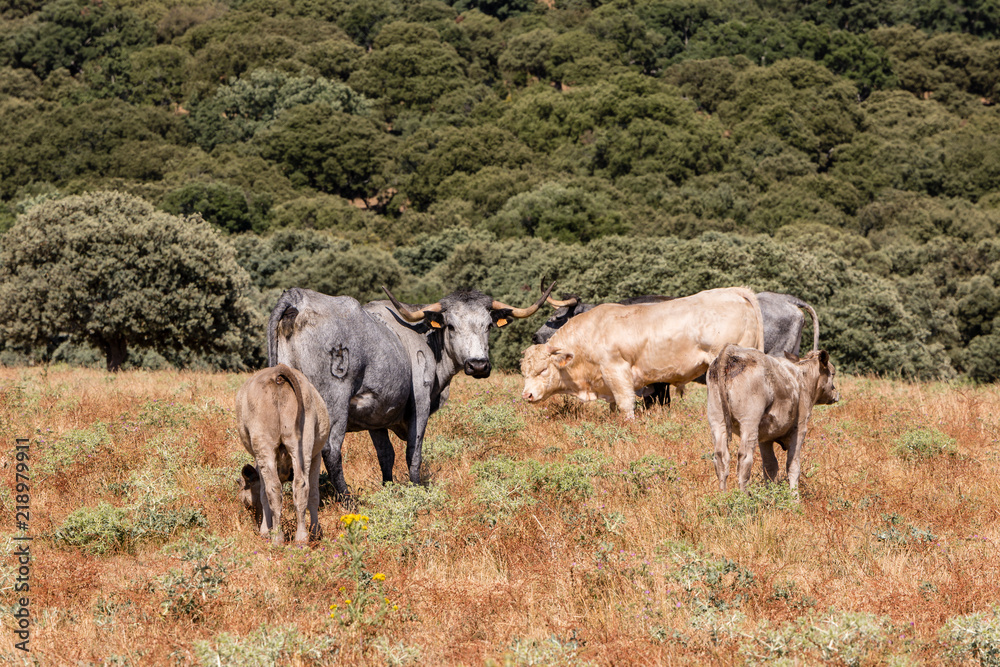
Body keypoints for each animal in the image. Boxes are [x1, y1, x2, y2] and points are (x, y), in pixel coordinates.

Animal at [235, 363, 331, 544]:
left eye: (246, 503)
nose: (254, 527)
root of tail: (277, 372)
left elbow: (263, 494)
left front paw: (265, 530)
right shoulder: (316, 455)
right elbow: (314, 494)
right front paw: (316, 531)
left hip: (264, 444)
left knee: (273, 489)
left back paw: (278, 537)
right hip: (302, 442)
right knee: (300, 486)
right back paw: (300, 537)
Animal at [268, 282, 554, 499]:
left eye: (488, 326)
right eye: (451, 326)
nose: (478, 364)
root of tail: (299, 299)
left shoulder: (376, 415)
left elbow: (386, 455)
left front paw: (389, 489)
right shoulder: (421, 404)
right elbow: (413, 453)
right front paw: (416, 490)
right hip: (334, 403)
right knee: (331, 450)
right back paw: (347, 500)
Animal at [520, 286, 764, 420]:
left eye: (543, 370)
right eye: (524, 372)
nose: (526, 395)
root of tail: (734, 292)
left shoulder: (618, 373)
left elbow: (626, 407)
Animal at [706, 344, 839, 493]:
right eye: (833, 373)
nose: (835, 393)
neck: (802, 380)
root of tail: (732, 350)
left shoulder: (765, 437)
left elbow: (770, 467)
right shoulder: (799, 429)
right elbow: (793, 466)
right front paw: (794, 496)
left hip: (717, 420)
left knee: (720, 457)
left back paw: (723, 495)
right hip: (749, 422)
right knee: (744, 458)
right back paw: (744, 496)